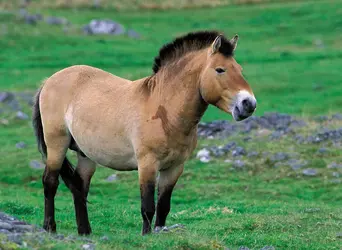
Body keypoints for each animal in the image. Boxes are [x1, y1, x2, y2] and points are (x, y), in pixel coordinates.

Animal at [32, 30, 256, 235]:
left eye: (240, 69)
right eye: (220, 70)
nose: (249, 104)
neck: (165, 111)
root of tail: (49, 81)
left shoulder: (174, 168)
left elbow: (163, 207)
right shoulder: (147, 164)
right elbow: (147, 207)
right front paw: (147, 236)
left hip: (85, 155)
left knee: (80, 187)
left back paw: (85, 231)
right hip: (57, 145)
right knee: (50, 182)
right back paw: (49, 228)